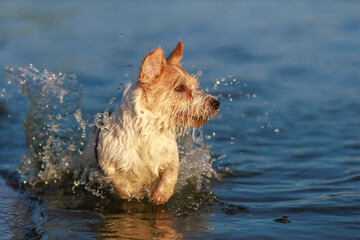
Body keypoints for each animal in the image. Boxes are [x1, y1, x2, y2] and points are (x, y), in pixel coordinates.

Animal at [84, 39, 219, 204]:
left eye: (196, 86)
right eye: (180, 88)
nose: (216, 103)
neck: (150, 131)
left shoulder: (171, 160)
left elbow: (170, 175)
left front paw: (161, 194)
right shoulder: (108, 165)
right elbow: (120, 183)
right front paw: (132, 192)